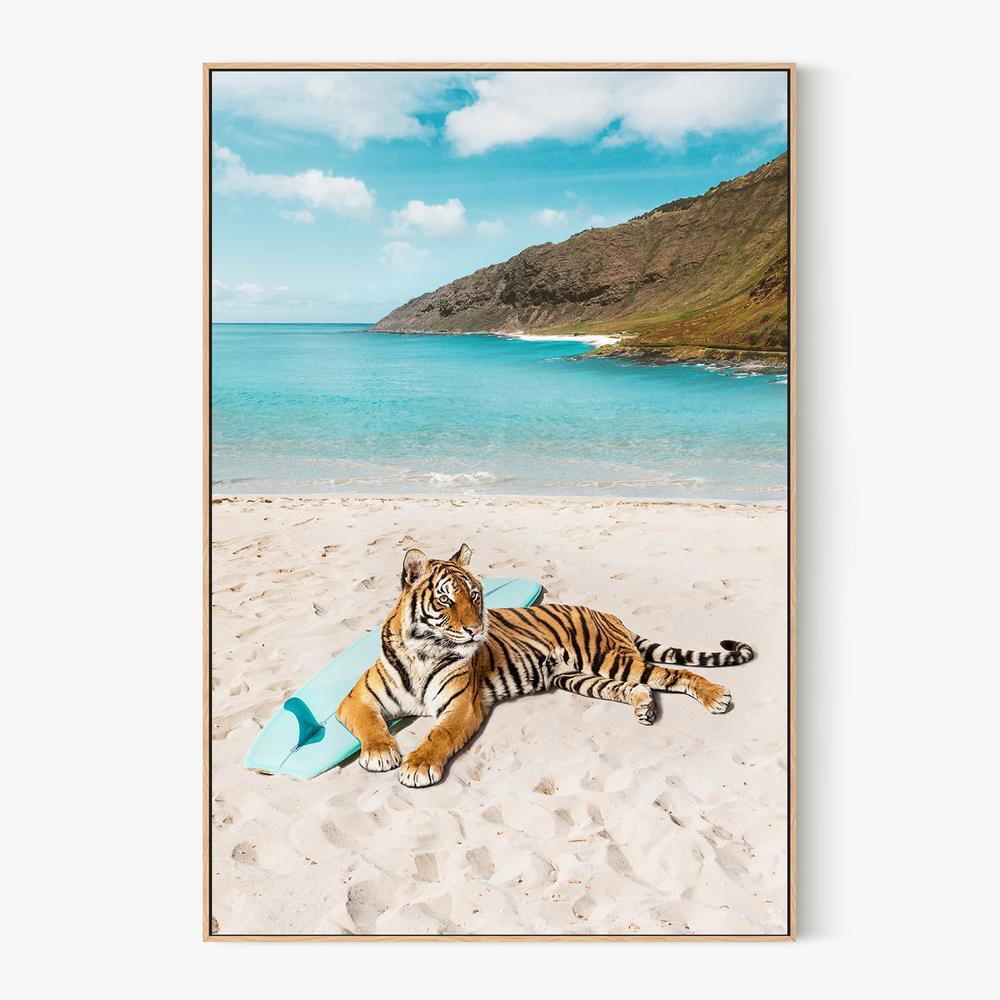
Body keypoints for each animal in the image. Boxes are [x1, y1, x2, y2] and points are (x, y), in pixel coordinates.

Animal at [336, 544, 754, 788]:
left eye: (475, 596)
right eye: (445, 600)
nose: (476, 629)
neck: (424, 652)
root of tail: (609, 614)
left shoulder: (461, 706)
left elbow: (439, 734)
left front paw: (418, 765)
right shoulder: (356, 700)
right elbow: (370, 724)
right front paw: (380, 752)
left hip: (609, 659)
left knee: (674, 674)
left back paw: (715, 697)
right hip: (579, 678)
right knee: (638, 687)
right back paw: (645, 708)